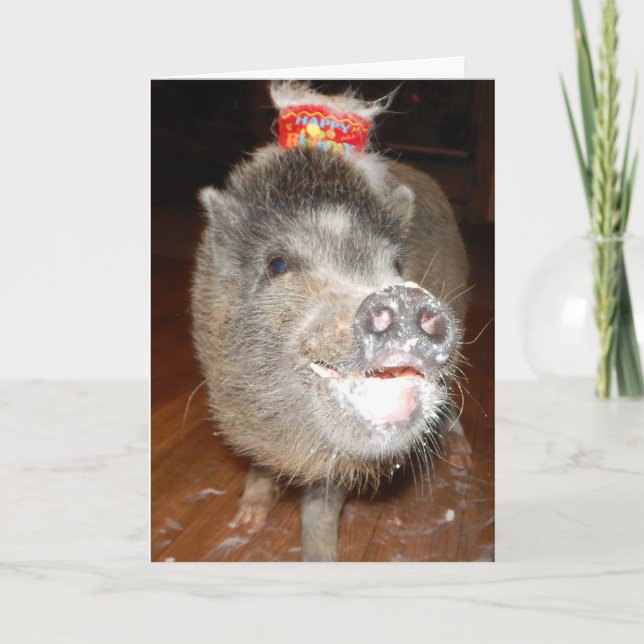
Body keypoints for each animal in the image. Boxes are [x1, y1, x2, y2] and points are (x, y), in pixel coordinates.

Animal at [191, 81, 471, 561]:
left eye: (396, 265)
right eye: (277, 264)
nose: (401, 294)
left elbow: (322, 507)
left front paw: (320, 558)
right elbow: (258, 463)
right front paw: (245, 524)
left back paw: (464, 461)